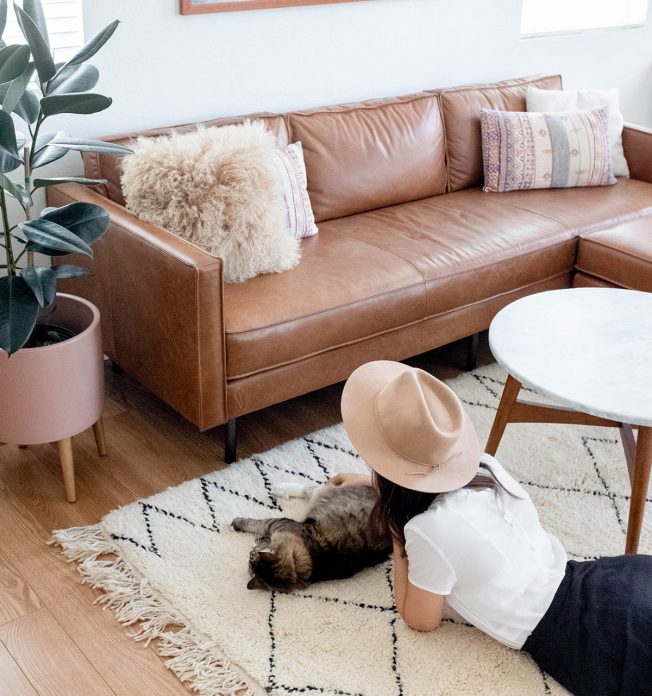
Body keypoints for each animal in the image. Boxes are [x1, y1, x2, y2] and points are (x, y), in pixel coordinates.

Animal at [232, 484, 390, 592]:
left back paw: (279, 489)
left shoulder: (280, 524)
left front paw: (237, 523)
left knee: (310, 488)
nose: (250, 552)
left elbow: (260, 524)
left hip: (322, 495)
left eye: (251, 558)